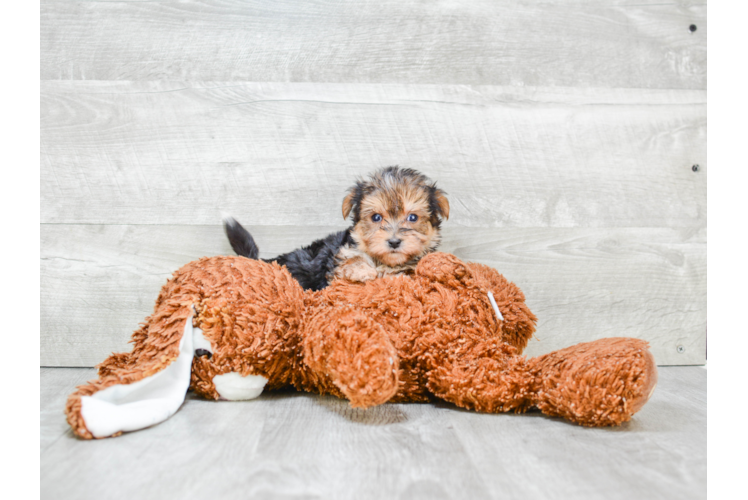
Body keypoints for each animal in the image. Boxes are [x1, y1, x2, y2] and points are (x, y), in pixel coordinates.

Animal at [224, 167, 450, 292]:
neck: (384, 262)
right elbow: (351, 260)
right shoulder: (338, 261)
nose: (394, 242)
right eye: (376, 217)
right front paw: (363, 271)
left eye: (412, 218)